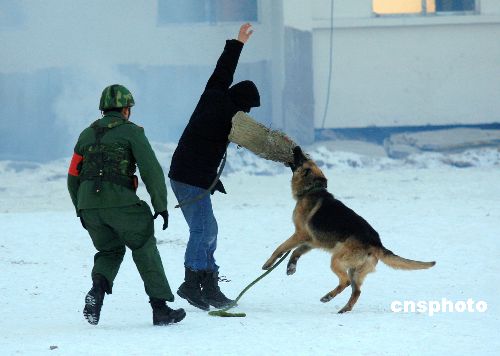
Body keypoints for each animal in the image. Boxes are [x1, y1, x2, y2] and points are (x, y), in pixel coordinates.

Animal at [262, 146, 434, 312]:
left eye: (303, 159)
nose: (296, 147)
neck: (311, 190)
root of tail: (376, 243)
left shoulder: (299, 234)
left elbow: (281, 248)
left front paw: (268, 264)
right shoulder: (311, 242)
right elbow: (296, 252)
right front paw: (291, 266)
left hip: (336, 260)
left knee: (344, 281)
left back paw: (328, 297)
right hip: (354, 271)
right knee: (356, 291)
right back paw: (343, 308)